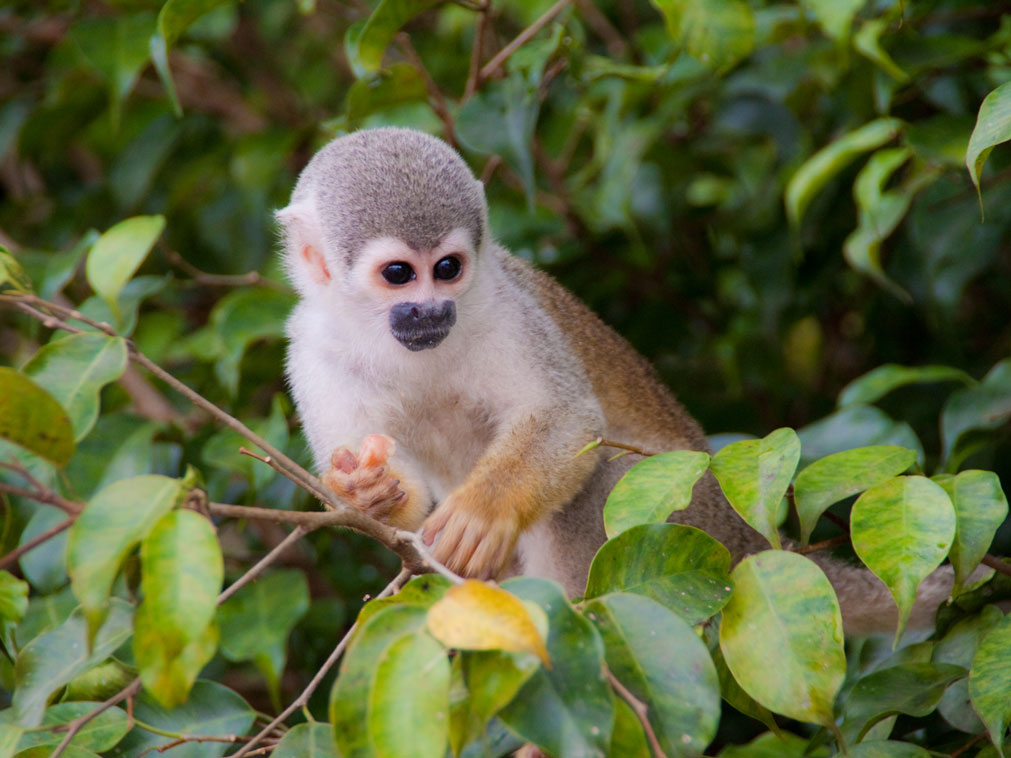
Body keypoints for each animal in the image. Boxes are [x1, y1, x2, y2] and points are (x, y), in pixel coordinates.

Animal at [281, 129, 958, 634]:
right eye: (400, 274)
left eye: (447, 269)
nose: (431, 312)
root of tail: (756, 544)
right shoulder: (313, 353)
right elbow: (403, 510)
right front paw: (368, 490)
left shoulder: (502, 305)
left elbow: (569, 420)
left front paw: (482, 509)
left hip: (701, 522)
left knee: (600, 480)